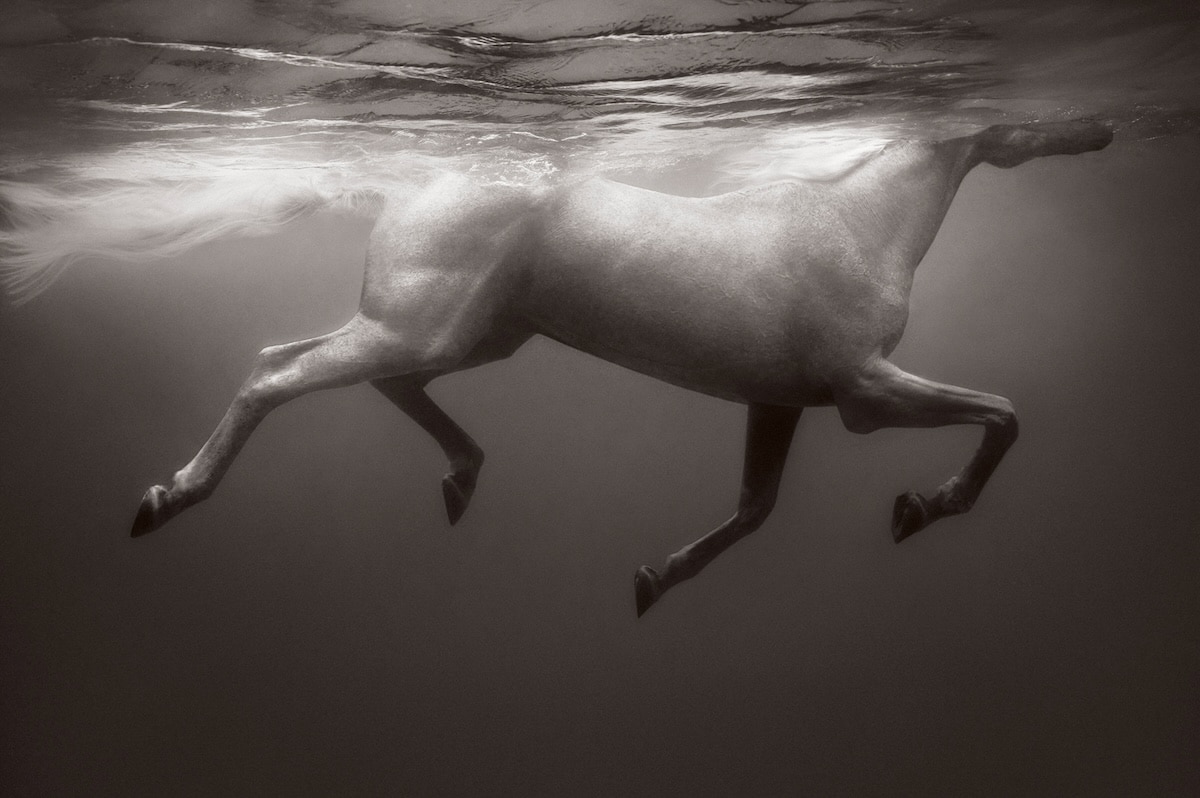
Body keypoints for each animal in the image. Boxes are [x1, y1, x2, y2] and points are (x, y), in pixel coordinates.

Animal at [124, 118, 1113, 614]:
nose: (1100, 129)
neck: (863, 221)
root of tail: (417, 180)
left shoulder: (780, 401)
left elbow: (754, 509)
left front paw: (654, 579)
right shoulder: (862, 393)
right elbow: (1004, 413)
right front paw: (923, 506)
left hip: (465, 334)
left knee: (338, 368)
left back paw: (463, 476)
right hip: (424, 326)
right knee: (276, 375)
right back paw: (168, 496)